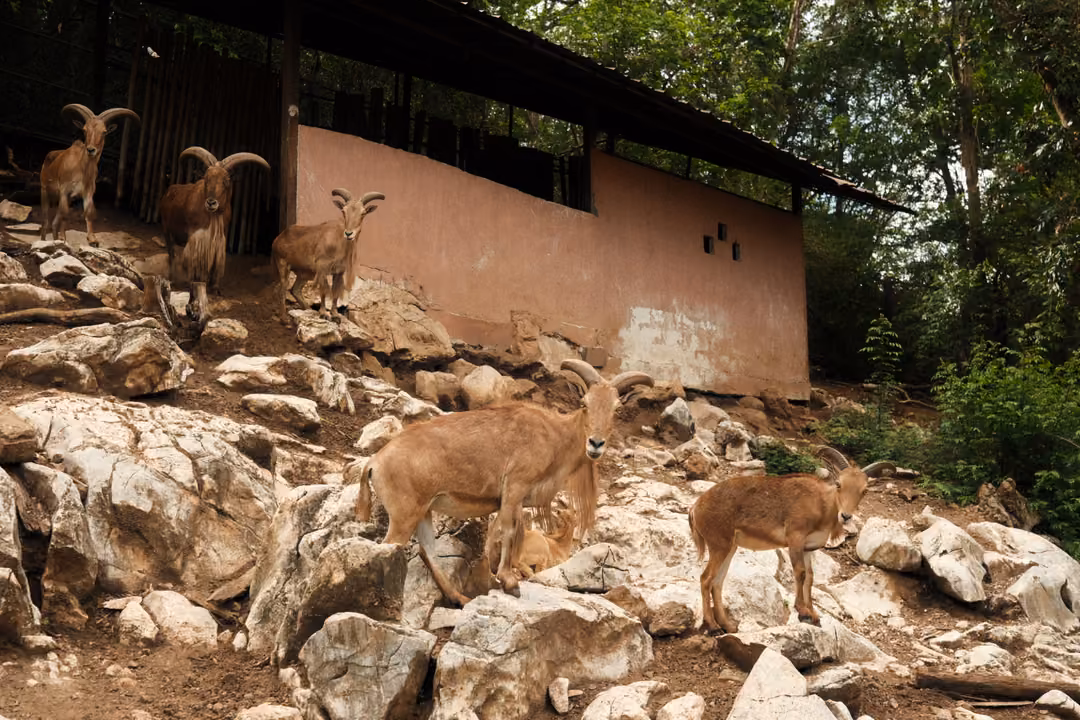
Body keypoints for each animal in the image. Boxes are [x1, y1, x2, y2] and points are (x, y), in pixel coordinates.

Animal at [39, 104, 140, 247]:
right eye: (84, 130)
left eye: (104, 131)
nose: (91, 150)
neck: (81, 169)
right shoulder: (64, 190)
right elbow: (65, 214)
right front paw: (63, 237)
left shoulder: (87, 192)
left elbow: (88, 213)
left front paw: (92, 239)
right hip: (44, 191)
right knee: (46, 220)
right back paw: (44, 240)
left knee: (54, 222)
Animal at [270, 187, 384, 324]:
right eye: (343, 211)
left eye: (363, 213)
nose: (349, 233)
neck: (339, 244)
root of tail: (278, 238)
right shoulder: (322, 268)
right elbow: (324, 291)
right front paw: (324, 313)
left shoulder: (339, 272)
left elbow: (335, 293)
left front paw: (335, 315)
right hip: (283, 265)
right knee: (282, 290)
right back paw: (284, 318)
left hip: (304, 273)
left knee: (295, 290)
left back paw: (308, 309)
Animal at [353, 359, 653, 606]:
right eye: (584, 403)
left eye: (616, 408)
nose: (596, 444)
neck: (555, 436)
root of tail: (374, 462)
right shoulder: (515, 487)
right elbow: (509, 531)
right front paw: (508, 581)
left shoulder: (513, 500)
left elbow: (509, 533)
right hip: (403, 515)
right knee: (387, 548)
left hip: (423, 513)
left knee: (429, 553)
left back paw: (460, 599)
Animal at [688, 447, 895, 634]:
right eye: (838, 484)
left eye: (864, 490)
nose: (845, 516)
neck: (821, 504)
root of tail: (696, 507)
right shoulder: (795, 538)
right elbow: (800, 572)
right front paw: (803, 612)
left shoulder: (809, 548)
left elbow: (810, 577)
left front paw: (814, 614)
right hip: (719, 545)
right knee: (706, 579)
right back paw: (713, 627)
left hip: (730, 547)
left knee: (717, 583)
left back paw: (728, 626)